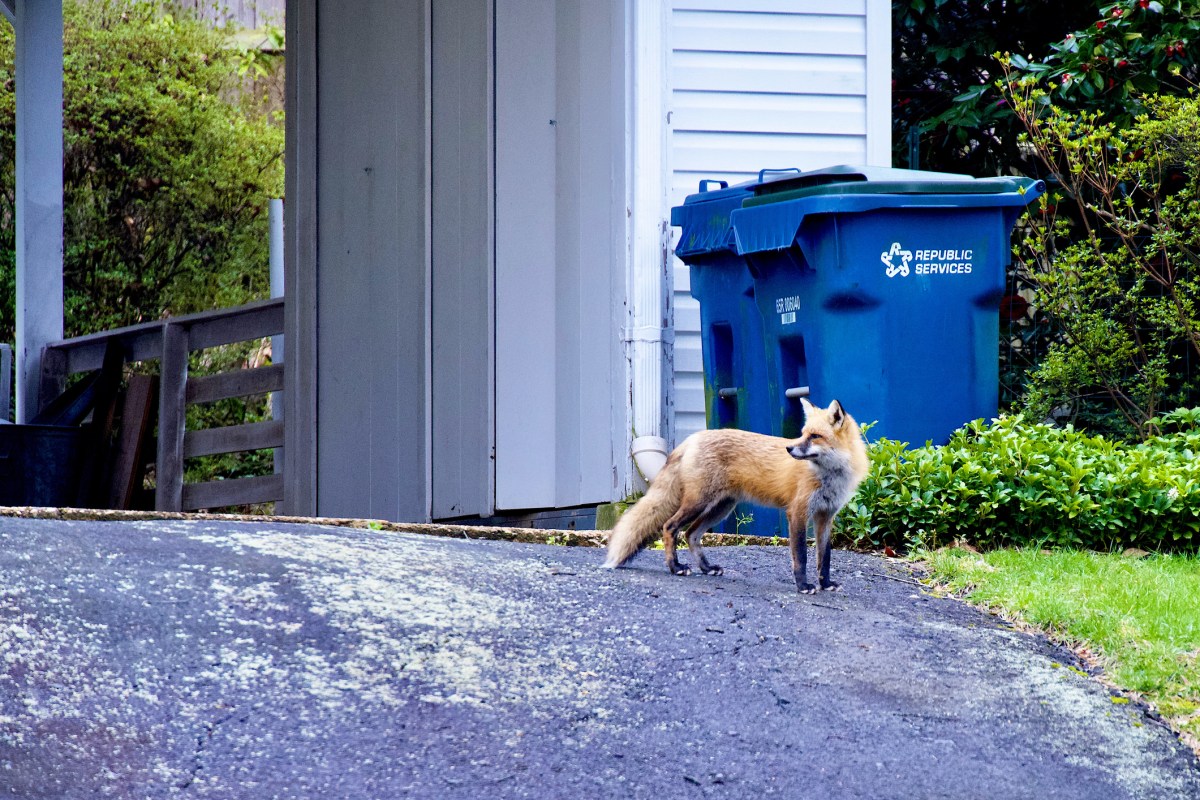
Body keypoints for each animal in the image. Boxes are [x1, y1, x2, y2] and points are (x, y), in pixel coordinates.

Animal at [602, 398, 869, 594]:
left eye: (814, 436)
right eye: (803, 433)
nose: (789, 448)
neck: (829, 475)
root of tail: (693, 438)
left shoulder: (825, 516)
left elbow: (825, 557)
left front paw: (826, 584)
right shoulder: (798, 512)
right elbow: (801, 556)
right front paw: (803, 585)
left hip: (721, 507)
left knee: (691, 534)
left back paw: (706, 568)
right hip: (698, 503)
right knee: (670, 527)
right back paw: (675, 567)